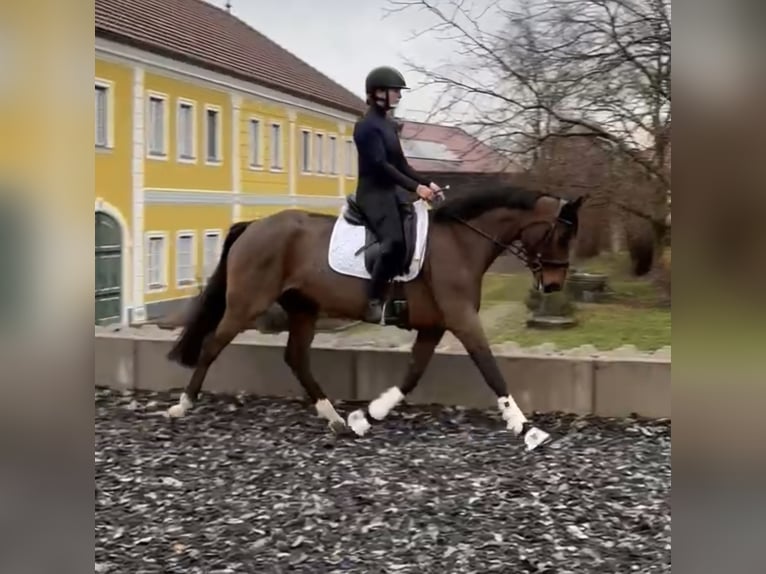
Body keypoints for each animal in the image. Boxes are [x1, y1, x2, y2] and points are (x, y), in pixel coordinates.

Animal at [164, 187, 584, 452]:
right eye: (562, 236)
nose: (553, 284)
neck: (460, 243)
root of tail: (253, 225)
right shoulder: (462, 319)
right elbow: (490, 367)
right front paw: (527, 429)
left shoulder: (434, 326)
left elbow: (412, 375)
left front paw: (367, 416)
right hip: (247, 304)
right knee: (212, 345)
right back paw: (182, 405)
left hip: (303, 308)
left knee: (295, 357)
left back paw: (333, 418)